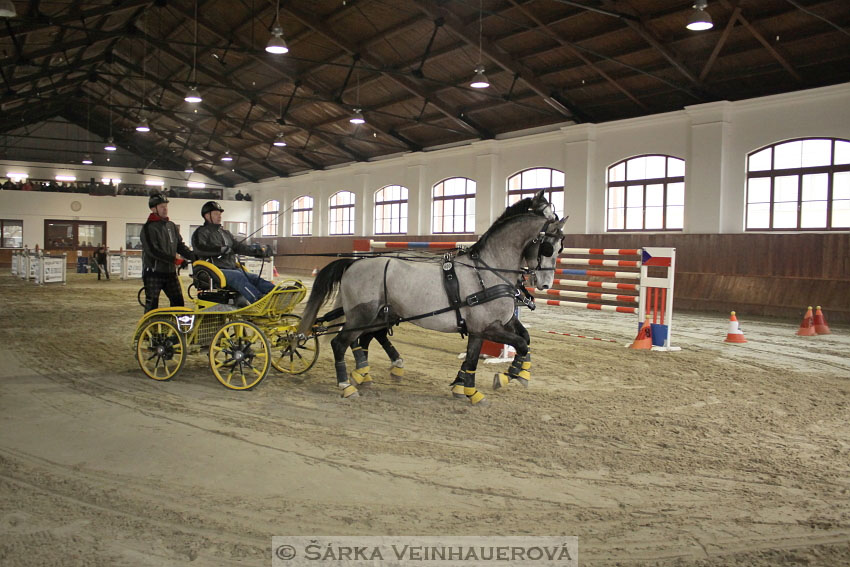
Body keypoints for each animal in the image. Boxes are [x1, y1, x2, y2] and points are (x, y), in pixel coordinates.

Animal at [298, 193, 564, 406]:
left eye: (560, 247)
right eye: (548, 247)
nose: (545, 284)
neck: (487, 269)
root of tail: (354, 262)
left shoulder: (485, 327)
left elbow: (497, 349)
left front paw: (470, 388)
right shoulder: (487, 327)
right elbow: (517, 345)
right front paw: (507, 377)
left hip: (378, 315)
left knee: (365, 339)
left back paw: (365, 374)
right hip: (363, 315)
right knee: (341, 343)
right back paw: (347, 385)